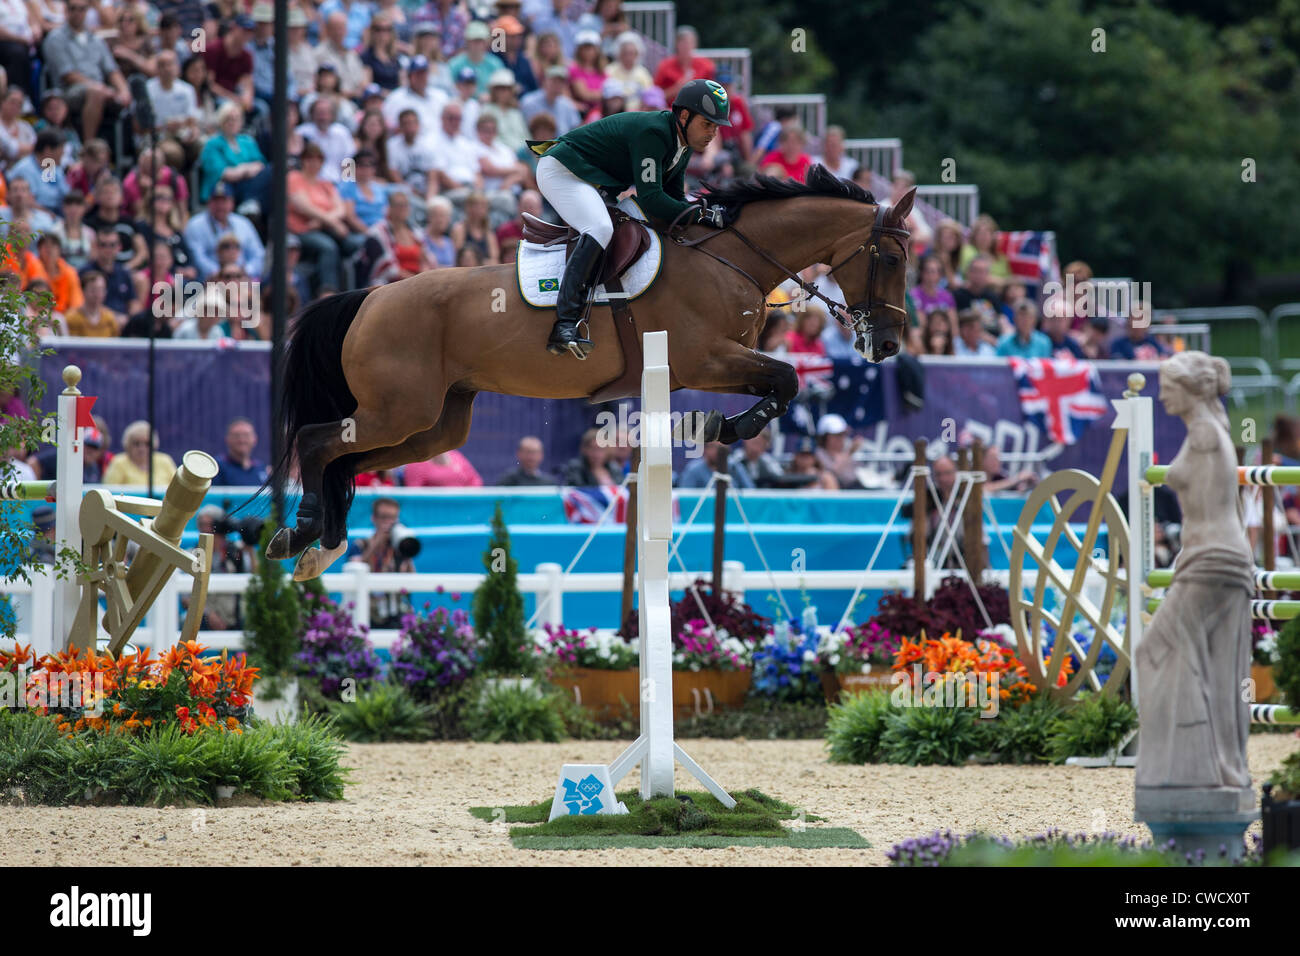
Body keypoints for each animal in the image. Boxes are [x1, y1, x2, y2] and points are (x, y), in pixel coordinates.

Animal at [263, 164, 915, 580]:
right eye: (890, 259)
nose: (886, 344)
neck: (731, 256)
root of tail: (370, 296)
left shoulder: (716, 364)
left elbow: (781, 384)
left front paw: (727, 427)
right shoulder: (704, 357)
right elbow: (787, 378)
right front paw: (723, 429)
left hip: (434, 425)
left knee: (347, 458)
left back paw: (319, 547)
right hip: (398, 409)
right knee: (317, 441)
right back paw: (302, 531)